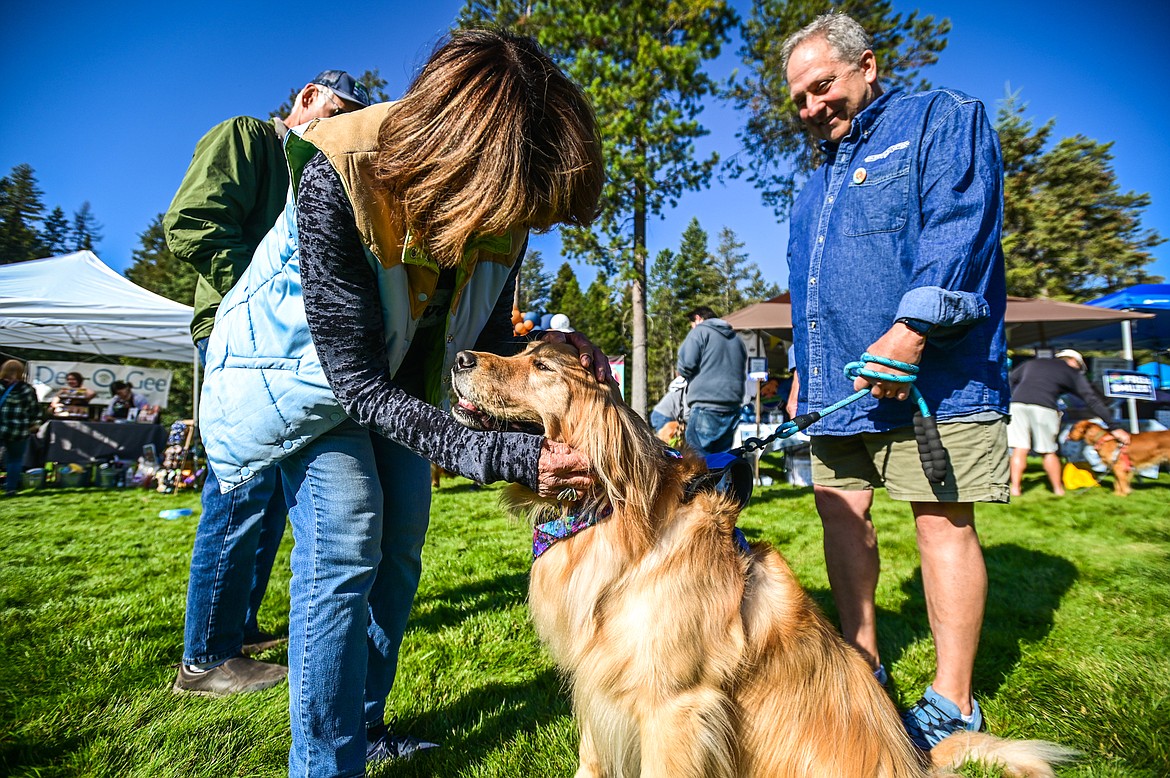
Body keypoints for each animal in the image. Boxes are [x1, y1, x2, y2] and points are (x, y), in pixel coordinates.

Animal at [446, 343, 1071, 776]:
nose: (458, 356)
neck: (608, 516)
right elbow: (590, 761)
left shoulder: (676, 705)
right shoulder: (597, 681)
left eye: (541, 368)